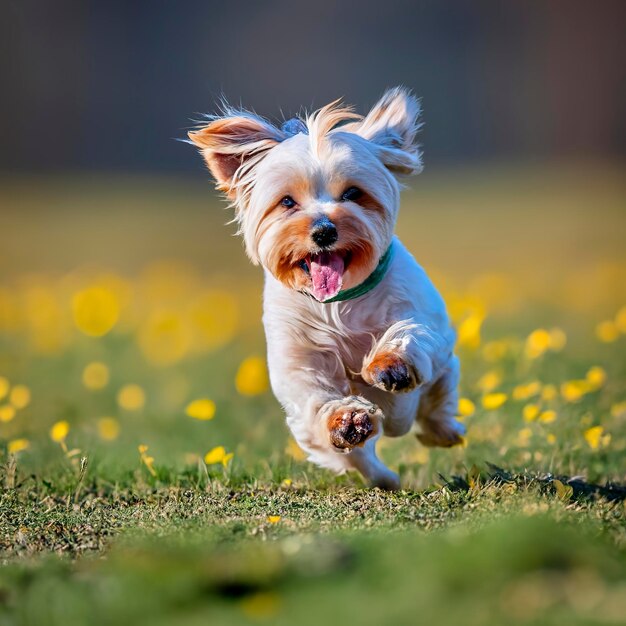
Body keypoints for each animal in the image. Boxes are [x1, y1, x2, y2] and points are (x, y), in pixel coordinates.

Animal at [188, 88, 466, 488]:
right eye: (287, 201)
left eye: (352, 193)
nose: (324, 230)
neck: (338, 303)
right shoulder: (298, 355)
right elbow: (315, 396)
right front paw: (347, 421)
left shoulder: (417, 312)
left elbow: (410, 335)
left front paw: (390, 365)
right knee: (364, 455)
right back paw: (383, 476)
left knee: (440, 390)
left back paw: (442, 429)